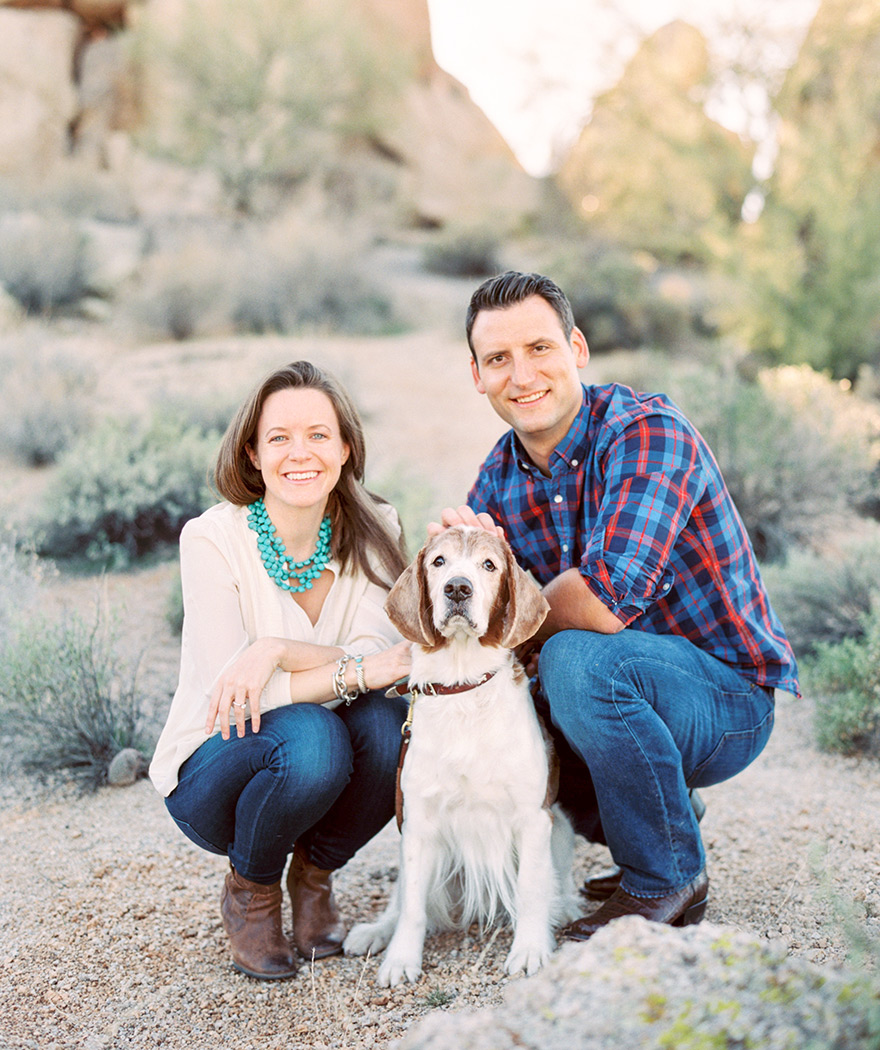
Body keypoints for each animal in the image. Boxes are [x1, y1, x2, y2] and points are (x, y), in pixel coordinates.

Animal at [344, 529, 583, 986]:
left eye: (489, 565)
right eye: (438, 562)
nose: (458, 588)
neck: (463, 685)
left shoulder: (532, 818)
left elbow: (531, 890)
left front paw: (529, 950)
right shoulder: (417, 822)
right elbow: (413, 906)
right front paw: (401, 959)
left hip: (559, 827)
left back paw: (565, 908)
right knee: (401, 900)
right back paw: (374, 932)